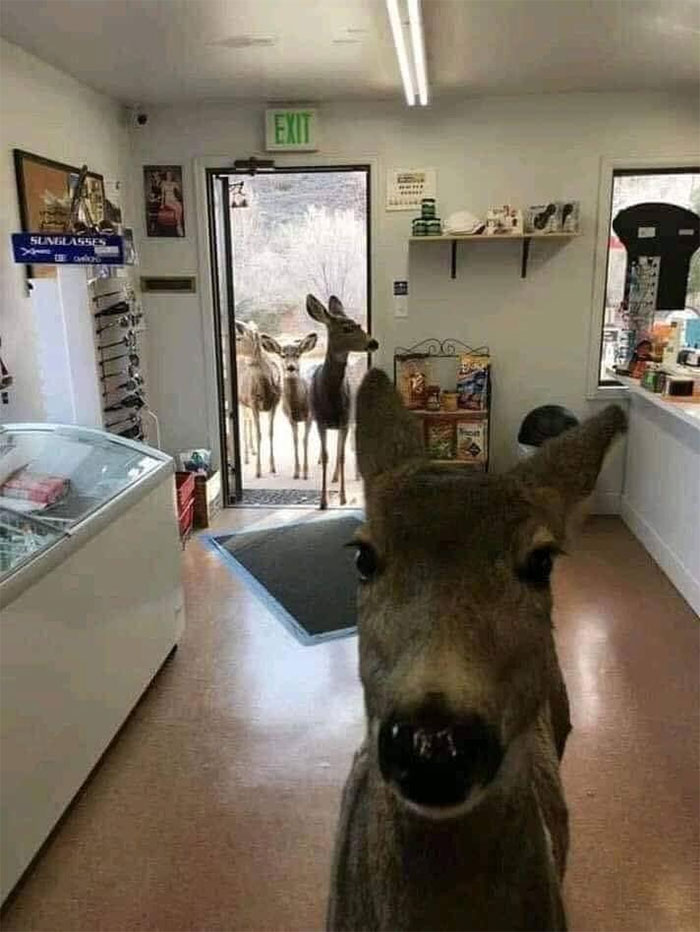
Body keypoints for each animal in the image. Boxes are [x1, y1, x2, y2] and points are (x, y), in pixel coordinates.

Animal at [306, 294, 378, 510]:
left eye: (359, 325)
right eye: (346, 328)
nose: (373, 343)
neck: (330, 397)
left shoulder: (345, 420)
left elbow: (342, 456)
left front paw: (344, 498)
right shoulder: (321, 421)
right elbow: (326, 456)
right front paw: (322, 502)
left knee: (342, 450)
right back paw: (334, 478)